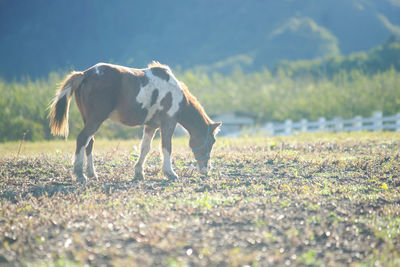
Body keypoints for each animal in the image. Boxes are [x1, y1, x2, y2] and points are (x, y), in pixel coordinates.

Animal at [49, 62, 222, 184]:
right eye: (211, 141)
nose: (206, 170)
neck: (176, 95)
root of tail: (85, 74)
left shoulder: (151, 126)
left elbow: (145, 148)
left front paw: (139, 172)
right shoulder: (168, 123)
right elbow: (166, 147)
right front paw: (170, 173)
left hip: (89, 119)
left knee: (89, 143)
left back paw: (92, 174)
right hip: (96, 119)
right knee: (82, 139)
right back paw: (80, 175)